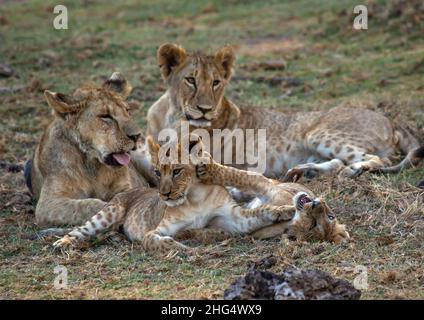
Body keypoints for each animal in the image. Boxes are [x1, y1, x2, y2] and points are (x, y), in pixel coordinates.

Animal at [145, 43, 420, 180]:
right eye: (190, 80)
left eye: (216, 82)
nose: (205, 110)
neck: (173, 117)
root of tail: (391, 121)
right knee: (339, 161)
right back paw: (305, 171)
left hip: (319, 134)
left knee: (377, 160)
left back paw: (352, 171)